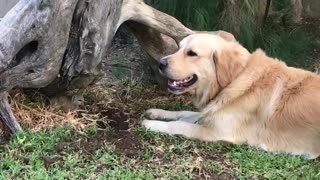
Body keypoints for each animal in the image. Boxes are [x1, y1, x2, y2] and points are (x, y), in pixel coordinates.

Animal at [141, 30, 320, 159]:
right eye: (179, 48)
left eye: (192, 53)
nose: (161, 63)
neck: (234, 80)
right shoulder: (213, 112)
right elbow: (183, 114)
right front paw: (157, 112)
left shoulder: (217, 132)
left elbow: (180, 124)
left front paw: (151, 124)